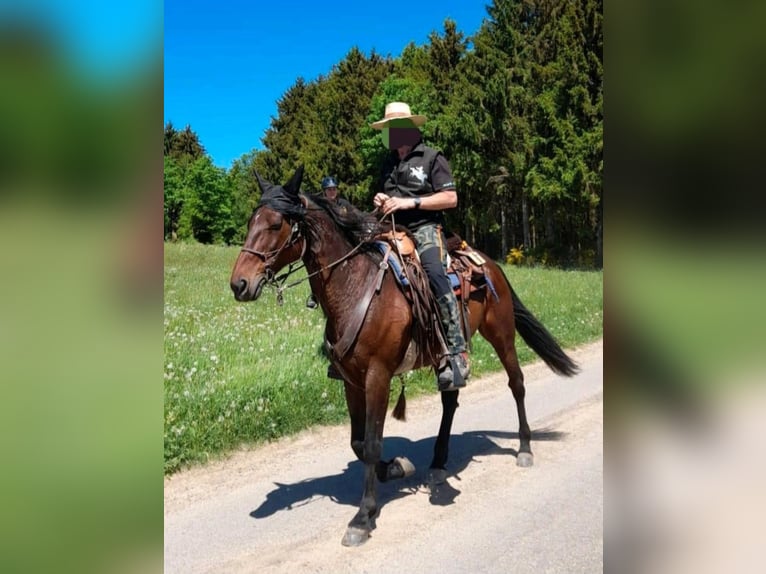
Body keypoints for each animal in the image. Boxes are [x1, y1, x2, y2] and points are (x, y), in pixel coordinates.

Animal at [231, 168, 580, 548]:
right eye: (250, 222)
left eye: (276, 223)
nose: (239, 283)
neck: (355, 284)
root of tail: (490, 264)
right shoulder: (351, 381)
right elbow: (357, 441)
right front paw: (397, 467)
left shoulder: (377, 377)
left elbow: (371, 443)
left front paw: (363, 517)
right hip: (448, 356)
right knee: (450, 400)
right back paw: (438, 463)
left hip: (502, 335)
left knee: (516, 384)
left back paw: (525, 448)